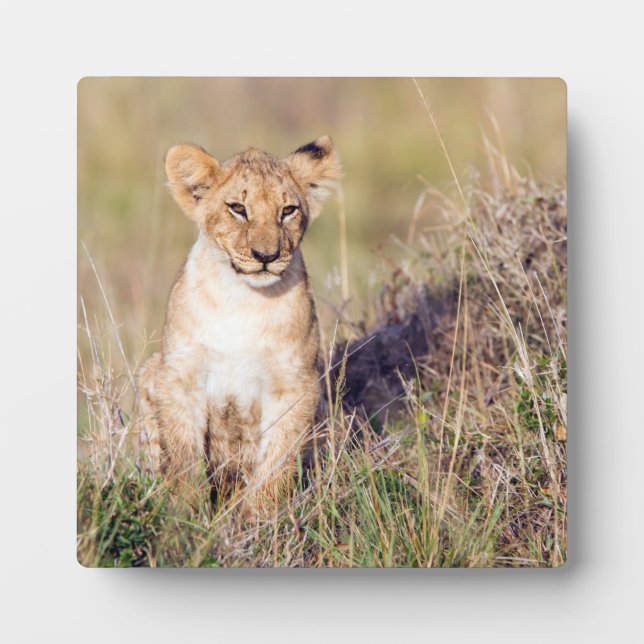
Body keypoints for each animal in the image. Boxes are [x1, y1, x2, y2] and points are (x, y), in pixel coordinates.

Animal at [136, 136, 341, 512]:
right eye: (238, 208)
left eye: (288, 210)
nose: (266, 257)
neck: (243, 299)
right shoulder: (179, 376)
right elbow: (182, 457)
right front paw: (185, 516)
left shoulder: (295, 385)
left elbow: (276, 462)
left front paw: (260, 518)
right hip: (149, 370)